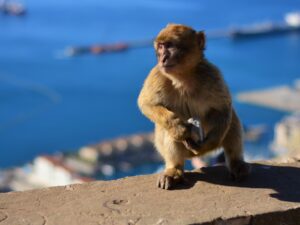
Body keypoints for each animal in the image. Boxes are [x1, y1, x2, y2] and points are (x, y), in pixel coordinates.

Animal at [138, 23, 251, 190]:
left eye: (170, 46)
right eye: (161, 46)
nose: (162, 58)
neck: (183, 77)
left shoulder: (211, 74)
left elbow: (223, 107)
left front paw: (211, 143)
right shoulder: (157, 74)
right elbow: (146, 103)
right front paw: (177, 127)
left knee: (232, 120)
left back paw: (236, 164)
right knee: (167, 131)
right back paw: (174, 169)